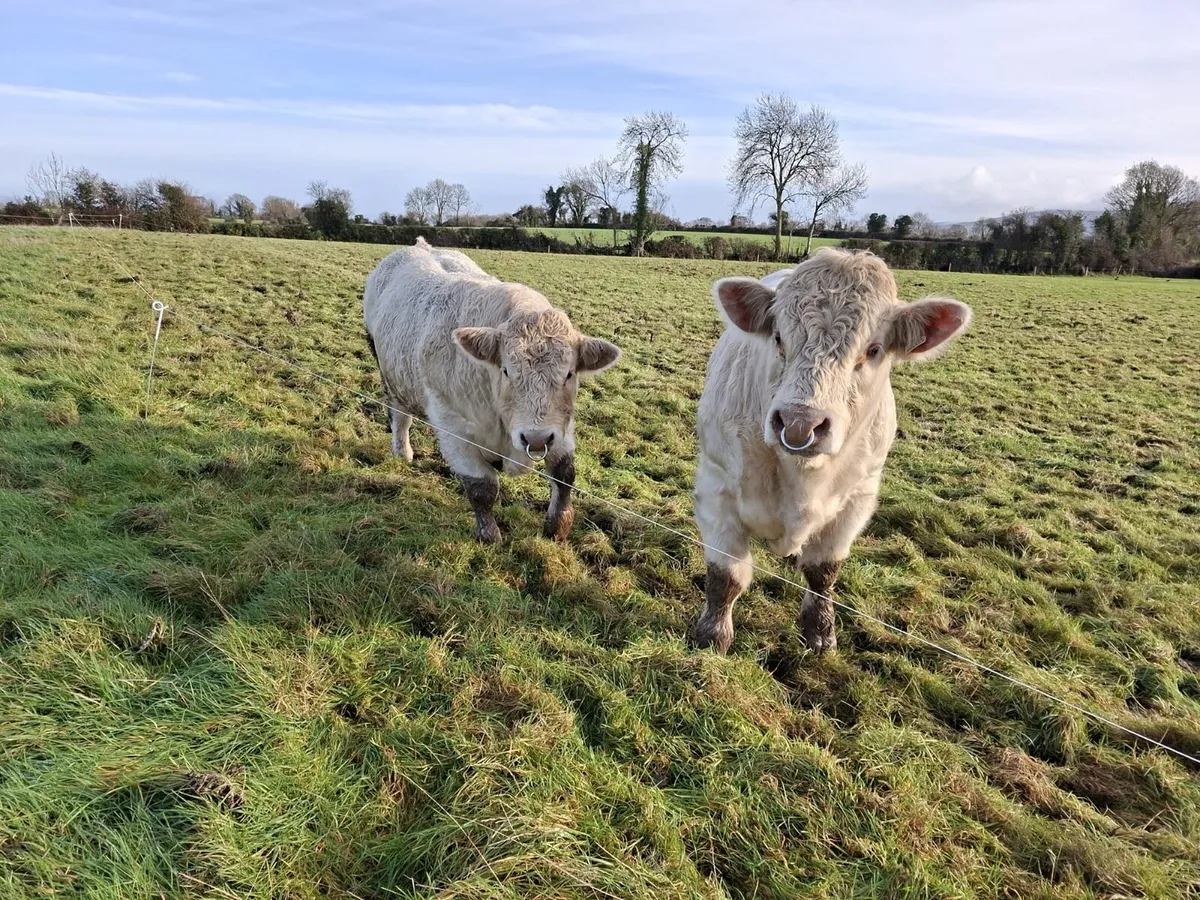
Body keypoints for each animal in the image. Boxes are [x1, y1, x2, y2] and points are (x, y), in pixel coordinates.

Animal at [362, 238, 621, 543]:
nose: (535, 439)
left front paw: (557, 527)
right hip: (389, 375)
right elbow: (481, 489)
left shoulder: (560, 427)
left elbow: (564, 473)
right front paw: (490, 536)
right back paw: (402, 452)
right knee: (400, 417)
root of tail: (419, 245)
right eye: (506, 371)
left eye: (569, 374)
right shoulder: (453, 427)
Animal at [689, 248, 972, 654]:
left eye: (873, 349)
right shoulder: (717, 487)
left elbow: (823, 572)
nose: (799, 423)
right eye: (778, 337)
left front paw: (820, 633)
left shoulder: (858, 499)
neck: (802, 478)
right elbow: (726, 575)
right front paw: (713, 636)